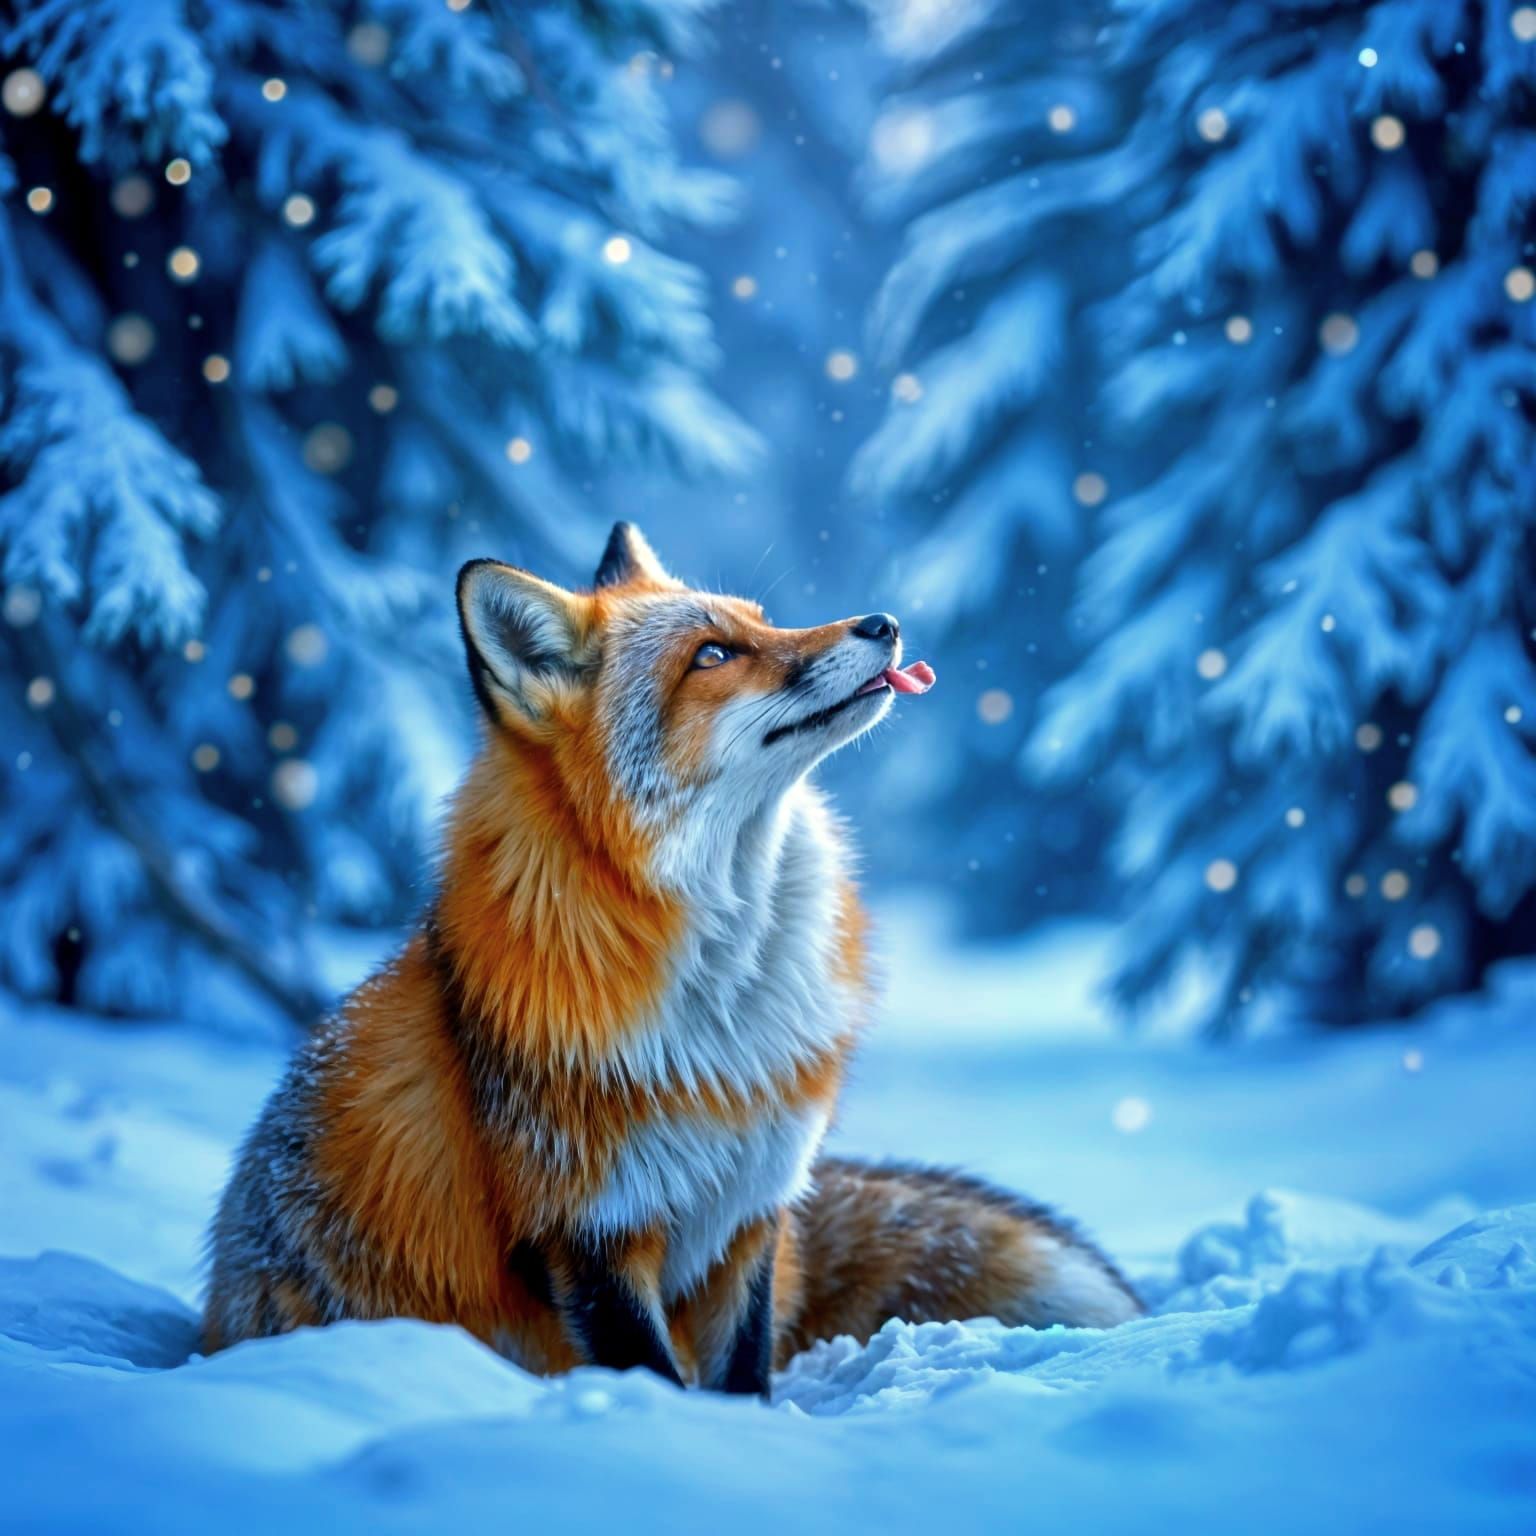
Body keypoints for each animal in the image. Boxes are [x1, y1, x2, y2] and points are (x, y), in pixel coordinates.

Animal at [204, 522, 1140, 1393]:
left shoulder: (751, 1212)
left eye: (765, 620)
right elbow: (660, 1380)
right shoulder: (589, 1236)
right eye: (714, 655)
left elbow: (744, 1377)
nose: (884, 622)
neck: (723, 1017)